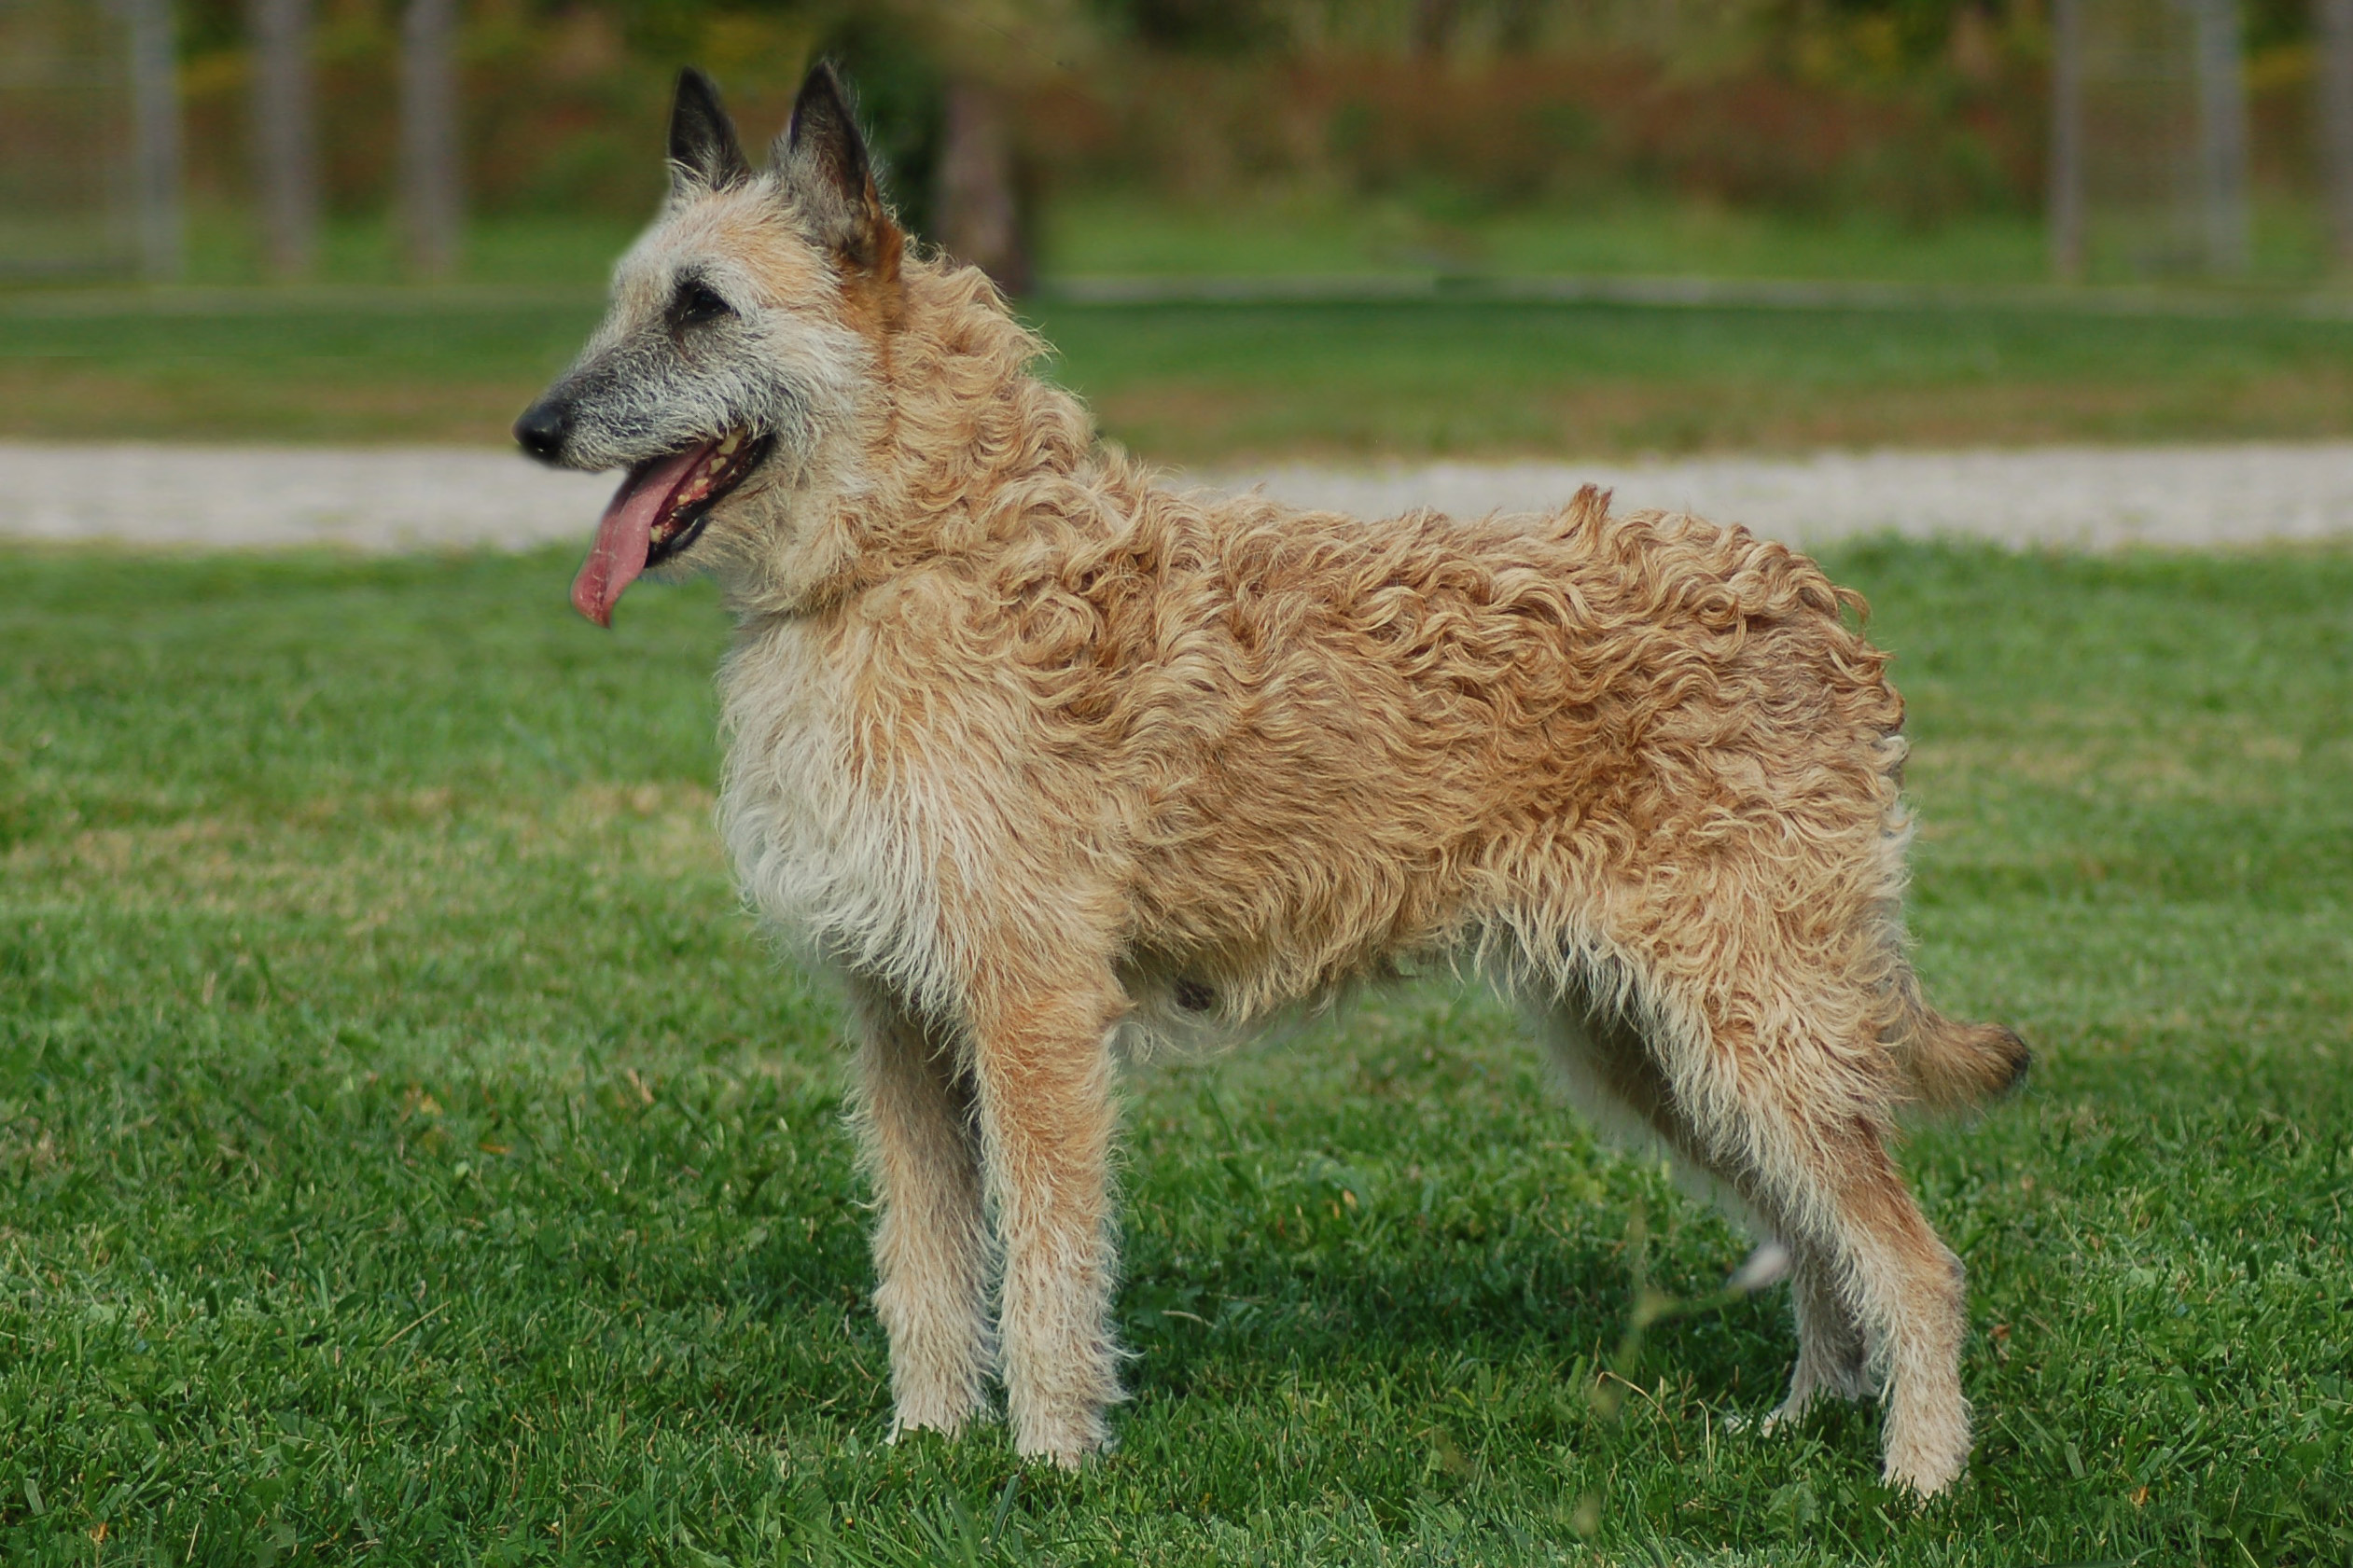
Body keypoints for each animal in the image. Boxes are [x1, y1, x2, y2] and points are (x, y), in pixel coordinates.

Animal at [515, 61, 2023, 1504]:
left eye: (701, 307)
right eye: (627, 299)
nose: (533, 427)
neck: (915, 546)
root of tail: (1815, 606)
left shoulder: (1030, 1016)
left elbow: (1046, 1271)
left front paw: (1046, 1467)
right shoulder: (897, 1020)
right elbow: (925, 1271)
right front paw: (922, 1449)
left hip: (1747, 1030)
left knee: (1911, 1257)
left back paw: (1918, 1479)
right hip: (1658, 1046)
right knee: (1819, 1239)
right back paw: (1806, 1419)